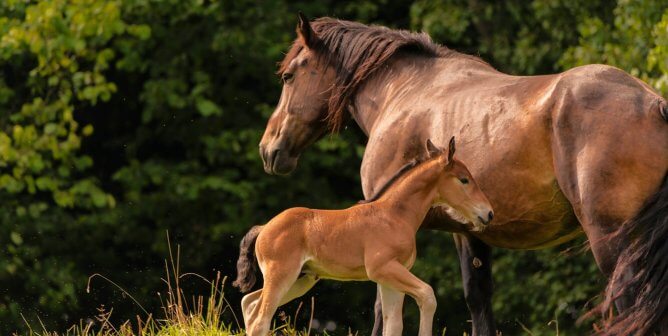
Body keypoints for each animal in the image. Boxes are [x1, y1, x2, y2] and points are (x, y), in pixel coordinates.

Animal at [234, 138, 490, 334]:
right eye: (464, 179)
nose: (488, 213)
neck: (394, 216)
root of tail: (264, 227)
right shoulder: (383, 268)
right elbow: (428, 296)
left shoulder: (390, 278)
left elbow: (393, 326)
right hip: (282, 275)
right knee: (260, 319)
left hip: (301, 279)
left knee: (249, 303)